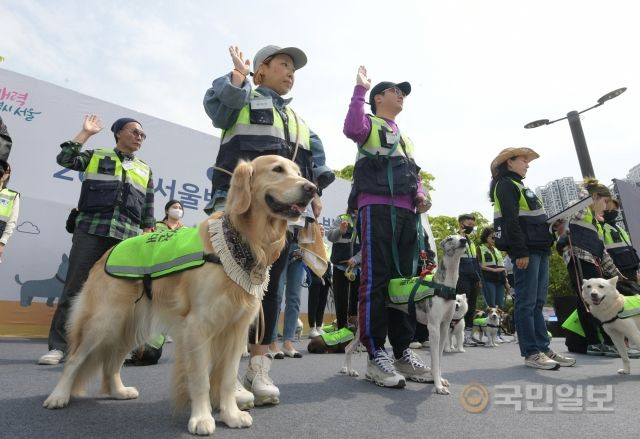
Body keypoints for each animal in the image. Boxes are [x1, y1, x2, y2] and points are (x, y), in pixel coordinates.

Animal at [42, 156, 318, 436]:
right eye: (277, 169)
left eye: (299, 172)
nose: (312, 189)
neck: (240, 242)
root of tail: (109, 251)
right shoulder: (198, 326)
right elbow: (200, 379)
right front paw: (202, 418)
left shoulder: (237, 329)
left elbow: (227, 379)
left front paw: (231, 414)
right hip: (105, 319)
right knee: (75, 358)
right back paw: (58, 396)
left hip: (130, 325)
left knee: (111, 362)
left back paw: (118, 391)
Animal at [342, 235, 468, 398]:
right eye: (450, 238)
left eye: (462, 236)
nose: (464, 240)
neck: (443, 285)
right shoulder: (433, 328)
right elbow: (434, 361)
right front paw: (438, 386)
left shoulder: (444, 326)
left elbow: (439, 360)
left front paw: (439, 380)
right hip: (363, 325)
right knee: (348, 347)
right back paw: (348, 370)